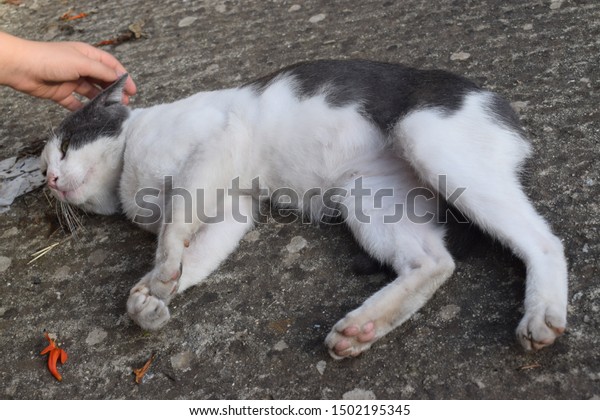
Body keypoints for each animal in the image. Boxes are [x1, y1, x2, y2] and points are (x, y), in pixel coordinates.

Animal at [41, 59, 568, 360]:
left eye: (64, 147)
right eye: (45, 165)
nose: (49, 180)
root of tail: (499, 105)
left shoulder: (219, 143)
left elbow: (175, 224)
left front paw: (161, 271)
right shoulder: (232, 210)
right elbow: (197, 255)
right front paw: (146, 299)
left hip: (431, 144)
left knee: (544, 240)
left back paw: (542, 313)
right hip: (369, 197)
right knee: (434, 262)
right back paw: (362, 328)